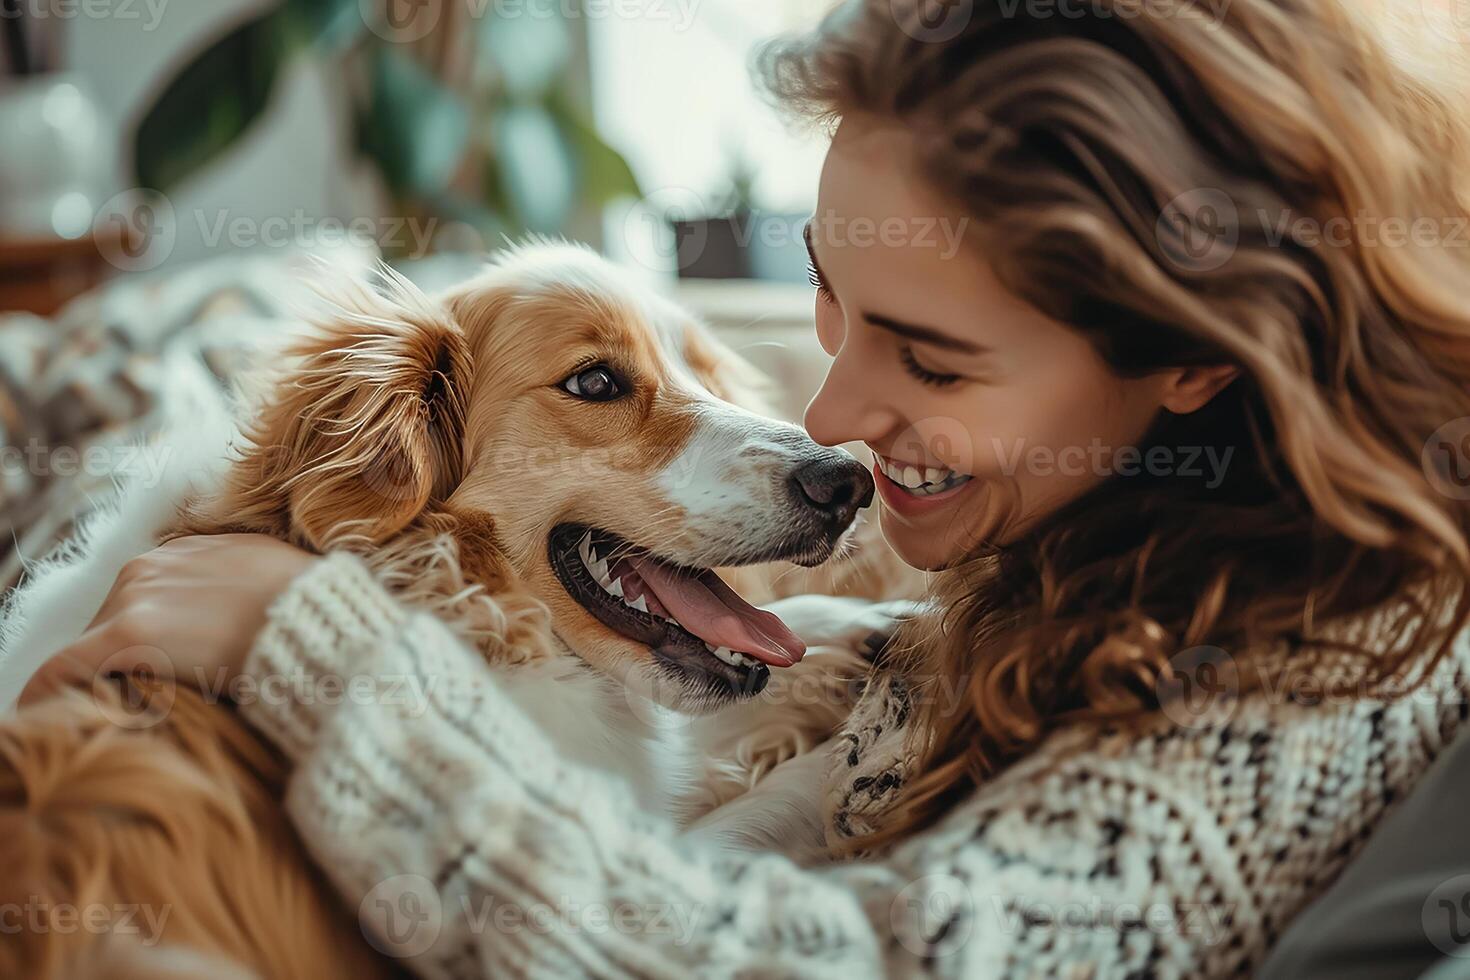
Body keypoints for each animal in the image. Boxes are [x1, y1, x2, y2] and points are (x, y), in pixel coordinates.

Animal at [0, 245, 905, 980]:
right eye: (595, 382)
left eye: (711, 378)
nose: (846, 484)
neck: (443, 587)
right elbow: (781, 790)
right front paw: (866, 751)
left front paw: (875, 628)